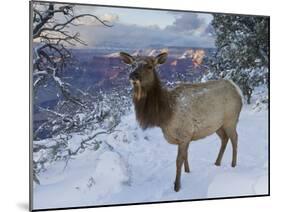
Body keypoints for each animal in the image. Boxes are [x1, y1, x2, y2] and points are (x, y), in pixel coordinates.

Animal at [118, 51, 241, 192]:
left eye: (150, 66)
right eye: (132, 65)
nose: (133, 75)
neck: (164, 115)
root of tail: (237, 89)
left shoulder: (184, 134)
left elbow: (178, 161)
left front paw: (177, 186)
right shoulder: (186, 137)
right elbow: (185, 156)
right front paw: (188, 172)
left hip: (231, 119)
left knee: (235, 138)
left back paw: (233, 164)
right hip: (218, 125)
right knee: (224, 139)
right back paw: (217, 162)